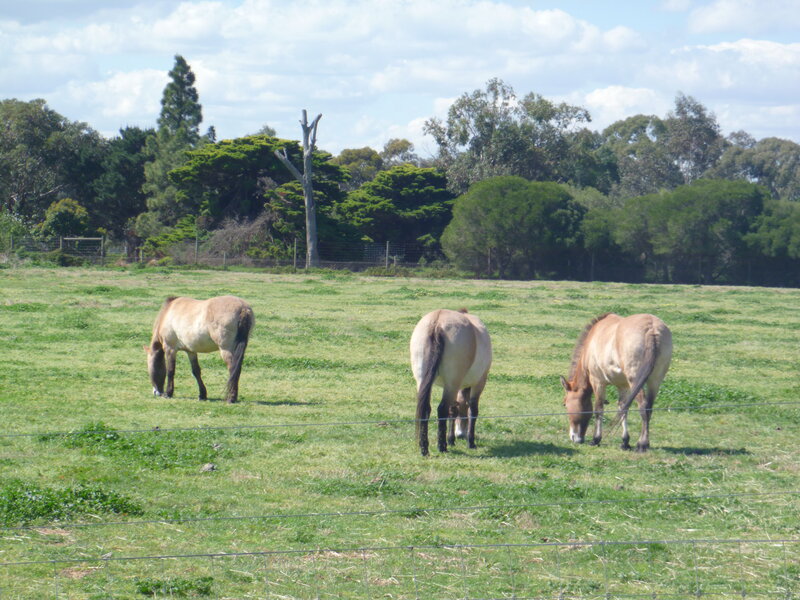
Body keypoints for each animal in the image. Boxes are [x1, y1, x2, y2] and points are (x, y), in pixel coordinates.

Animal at [410, 308, 492, 456]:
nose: (460, 434)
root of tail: (438, 321)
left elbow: (453, 410)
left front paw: (451, 439)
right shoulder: (479, 383)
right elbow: (473, 410)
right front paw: (470, 442)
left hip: (422, 381)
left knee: (425, 408)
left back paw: (424, 448)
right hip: (452, 385)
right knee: (441, 409)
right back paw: (442, 446)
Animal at [559, 313, 672, 452]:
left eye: (565, 404)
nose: (574, 437)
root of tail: (652, 328)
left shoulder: (598, 382)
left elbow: (598, 409)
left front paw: (596, 439)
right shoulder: (623, 386)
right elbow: (623, 408)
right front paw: (625, 441)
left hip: (635, 381)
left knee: (643, 407)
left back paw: (642, 444)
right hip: (655, 381)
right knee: (649, 408)